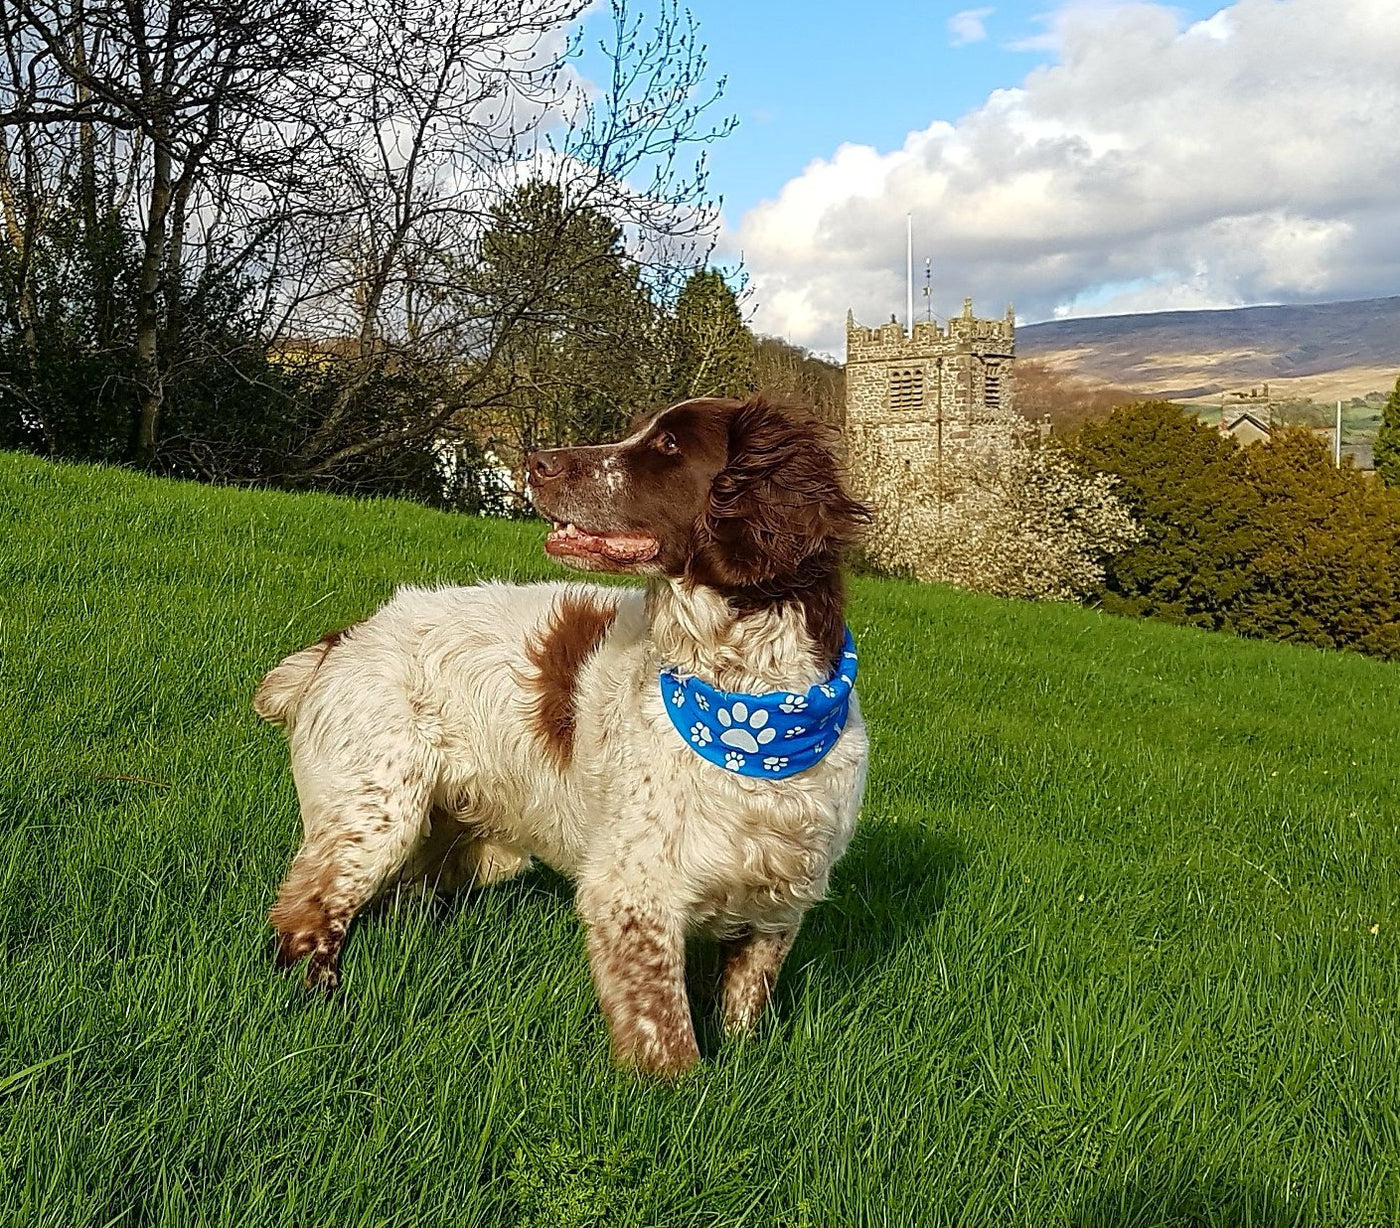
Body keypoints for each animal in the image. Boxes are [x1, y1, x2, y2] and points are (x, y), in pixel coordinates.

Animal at [252, 394, 862, 1075]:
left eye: (669, 446)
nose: (536, 461)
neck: (752, 709)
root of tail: (345, 637)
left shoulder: (780, 902)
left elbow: (746, 1003)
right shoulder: (633, 894)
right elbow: (667, 1040)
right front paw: (683, 1089)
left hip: (464, 846)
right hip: (372, 817)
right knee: (307, 911)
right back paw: (319, 1003)